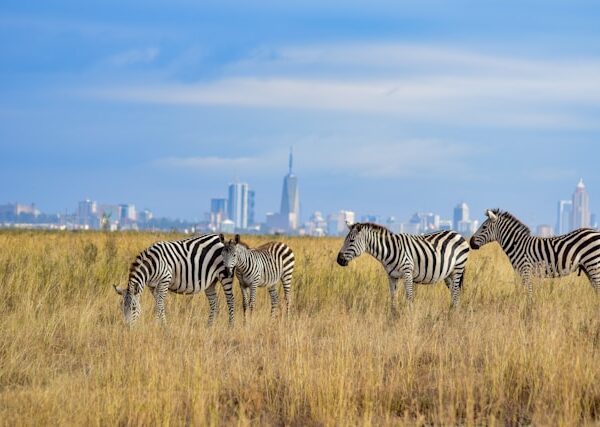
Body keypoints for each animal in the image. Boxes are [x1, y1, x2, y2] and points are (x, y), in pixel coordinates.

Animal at [338, 222, 468, 312]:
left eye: (352, 241)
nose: (338, 260)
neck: (389, 250)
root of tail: (458, 234)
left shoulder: (407, 273)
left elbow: (409, 297)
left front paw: (409, 317)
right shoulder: (391, 276)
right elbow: (393, 297)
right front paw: (393, 316)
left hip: (458, 268)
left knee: (456, 293)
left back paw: (453, 315)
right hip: (448, 274)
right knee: (454, 293)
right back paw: (452, 312)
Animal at [468, 210, 600, 298]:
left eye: (484, 227)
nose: (470, 243)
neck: (517, 245)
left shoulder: (525, 270)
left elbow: (529, 294)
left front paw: (528, 311)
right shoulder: (522, 273)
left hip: (593, 264)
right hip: (588, 267)